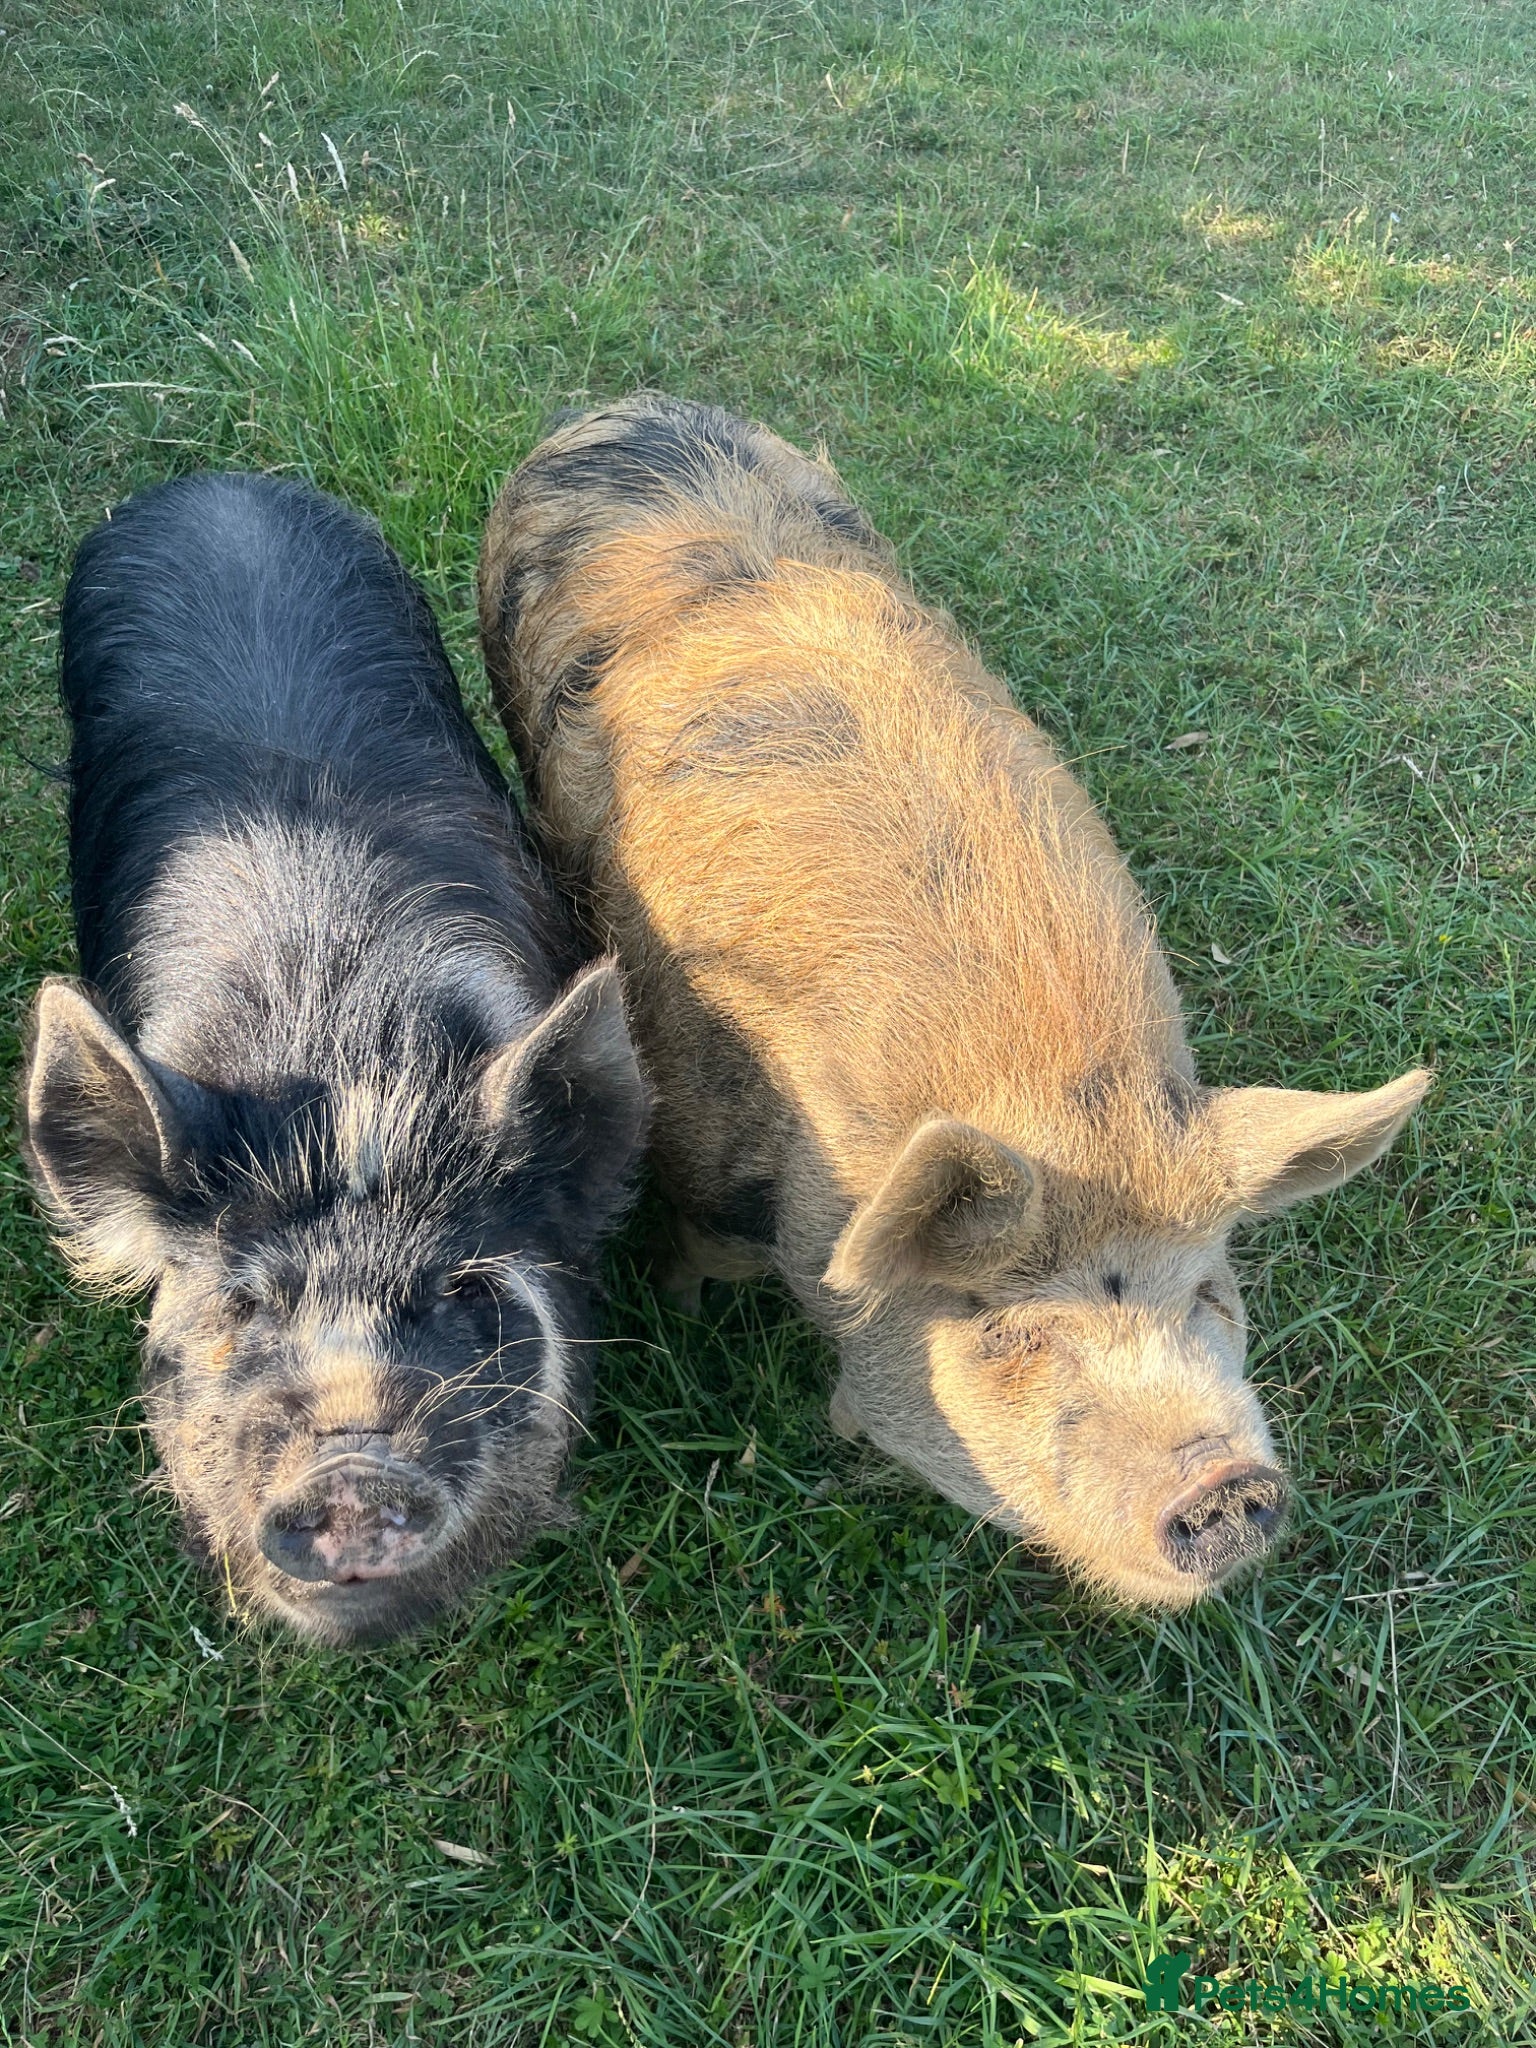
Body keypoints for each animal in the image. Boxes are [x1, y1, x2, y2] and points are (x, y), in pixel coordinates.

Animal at [476, 393, 1429, 1610]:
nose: (1225, 1482)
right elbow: (695, 1257)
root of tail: (626, 403)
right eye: (1003, 1327)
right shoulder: (697, 1150)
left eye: (1207, 1291)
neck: (1050, 1094)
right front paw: (689, 1319)